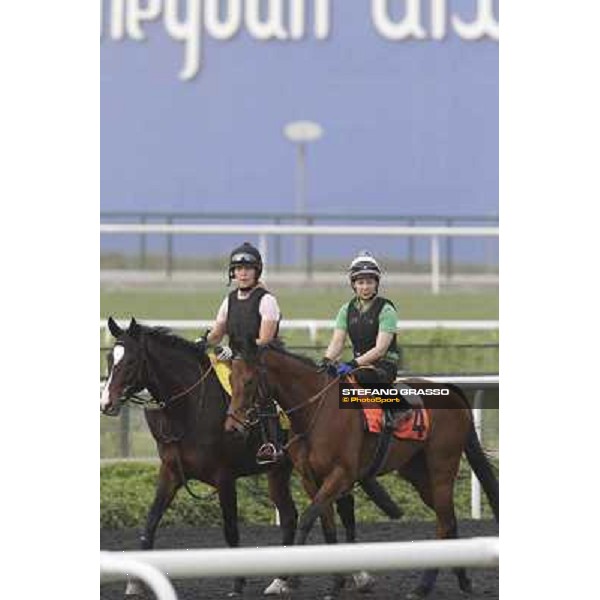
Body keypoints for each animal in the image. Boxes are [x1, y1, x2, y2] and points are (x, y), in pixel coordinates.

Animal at [101, 316, 404, 596]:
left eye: (130, 362)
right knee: (291, 515)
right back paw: (282, 579)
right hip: (280, 469)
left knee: (342, 508)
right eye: (109, 358)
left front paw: (237, 582)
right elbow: (150, 523)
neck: (191, 407)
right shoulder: (171, 472)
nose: (106, 403)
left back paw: (359, 575)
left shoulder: (224, 477)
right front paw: (134, 584)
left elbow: (231, 530)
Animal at [227, 342, 500, 600]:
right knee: (450, 521)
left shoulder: (340, 475)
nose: (232, 427)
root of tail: (452, 392)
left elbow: (307, 518)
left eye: (249, 381)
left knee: (444, 523)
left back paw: (422, 586)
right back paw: (462, 580)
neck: (317, 413)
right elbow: (326, 525)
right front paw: (336, 583)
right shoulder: (311, 479)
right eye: (230, 378)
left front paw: (289, 579)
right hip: (418, 475)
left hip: (441, 467)